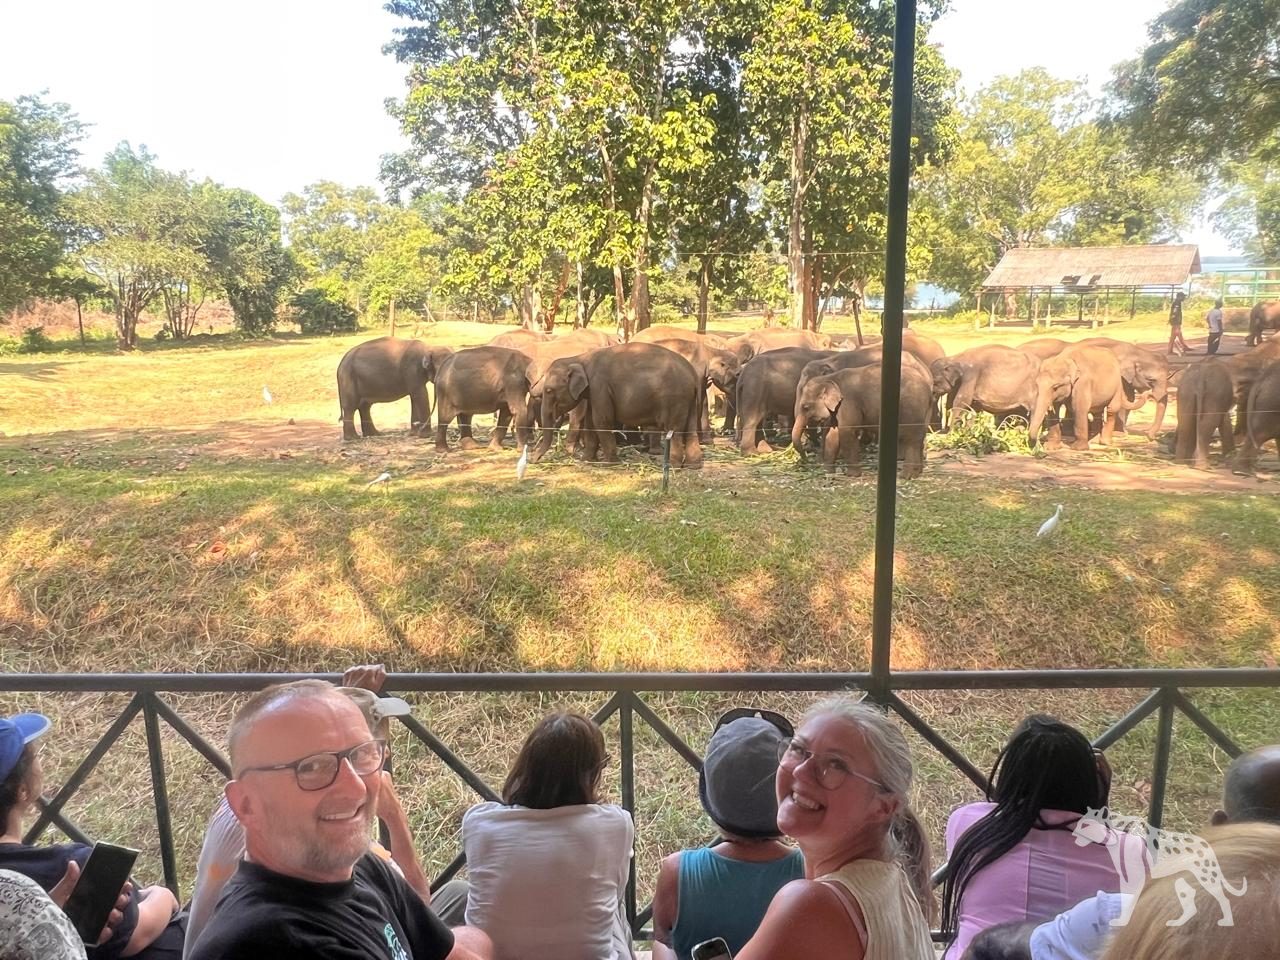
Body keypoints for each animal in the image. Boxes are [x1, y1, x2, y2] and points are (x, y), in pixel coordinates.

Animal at [534, 343, 703, 467]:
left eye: (548, 390)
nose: (534, 459)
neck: (579, 358)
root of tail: (693, 375)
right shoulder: (593, 392)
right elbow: (590, 422)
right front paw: (587, 460)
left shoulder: (599, 385)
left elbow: (602, 420)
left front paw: (609, 463)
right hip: (690, 400)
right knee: (691, 429)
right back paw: (693, 466)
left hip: (675, 400)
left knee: (674, 430)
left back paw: (673, 465)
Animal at [790, 360, 934, 478]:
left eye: (806, 407)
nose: (805, 461)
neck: (830, 378)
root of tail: (927, 385)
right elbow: (833, 435)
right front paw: (827, 472)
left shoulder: (848, 401)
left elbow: (847, 431)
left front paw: (852, 475)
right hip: (925, 409)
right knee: (920, 437)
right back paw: (918, 473)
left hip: (911, 405)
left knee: (910, 437)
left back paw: (906, 476)